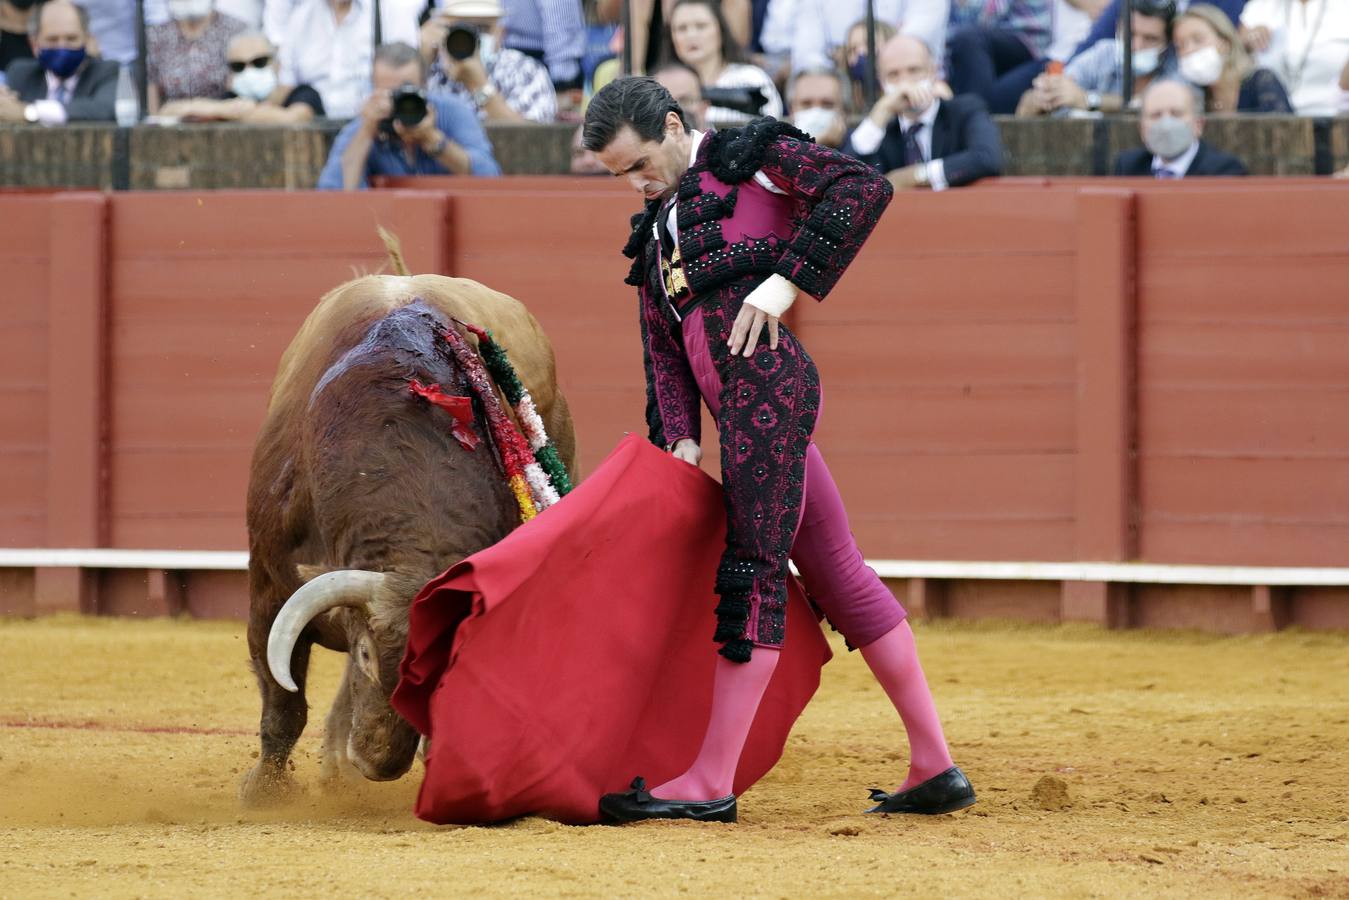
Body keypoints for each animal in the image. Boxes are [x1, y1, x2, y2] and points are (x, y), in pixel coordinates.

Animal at [240, 242, 571, 804]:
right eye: (368, 655)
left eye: (440, 672)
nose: (379, 763)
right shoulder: (269, 587)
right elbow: (282, 702)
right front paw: (264, 792)